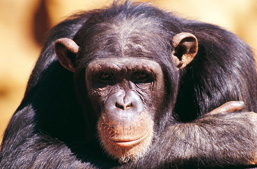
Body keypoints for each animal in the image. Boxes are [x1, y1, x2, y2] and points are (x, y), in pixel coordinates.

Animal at [0, 0, 256, 168]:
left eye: (141, 76)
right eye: (104, 77)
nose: (123, 104)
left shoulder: (229, 63)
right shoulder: (49, 66)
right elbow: (25, 154)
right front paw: (227, 135)